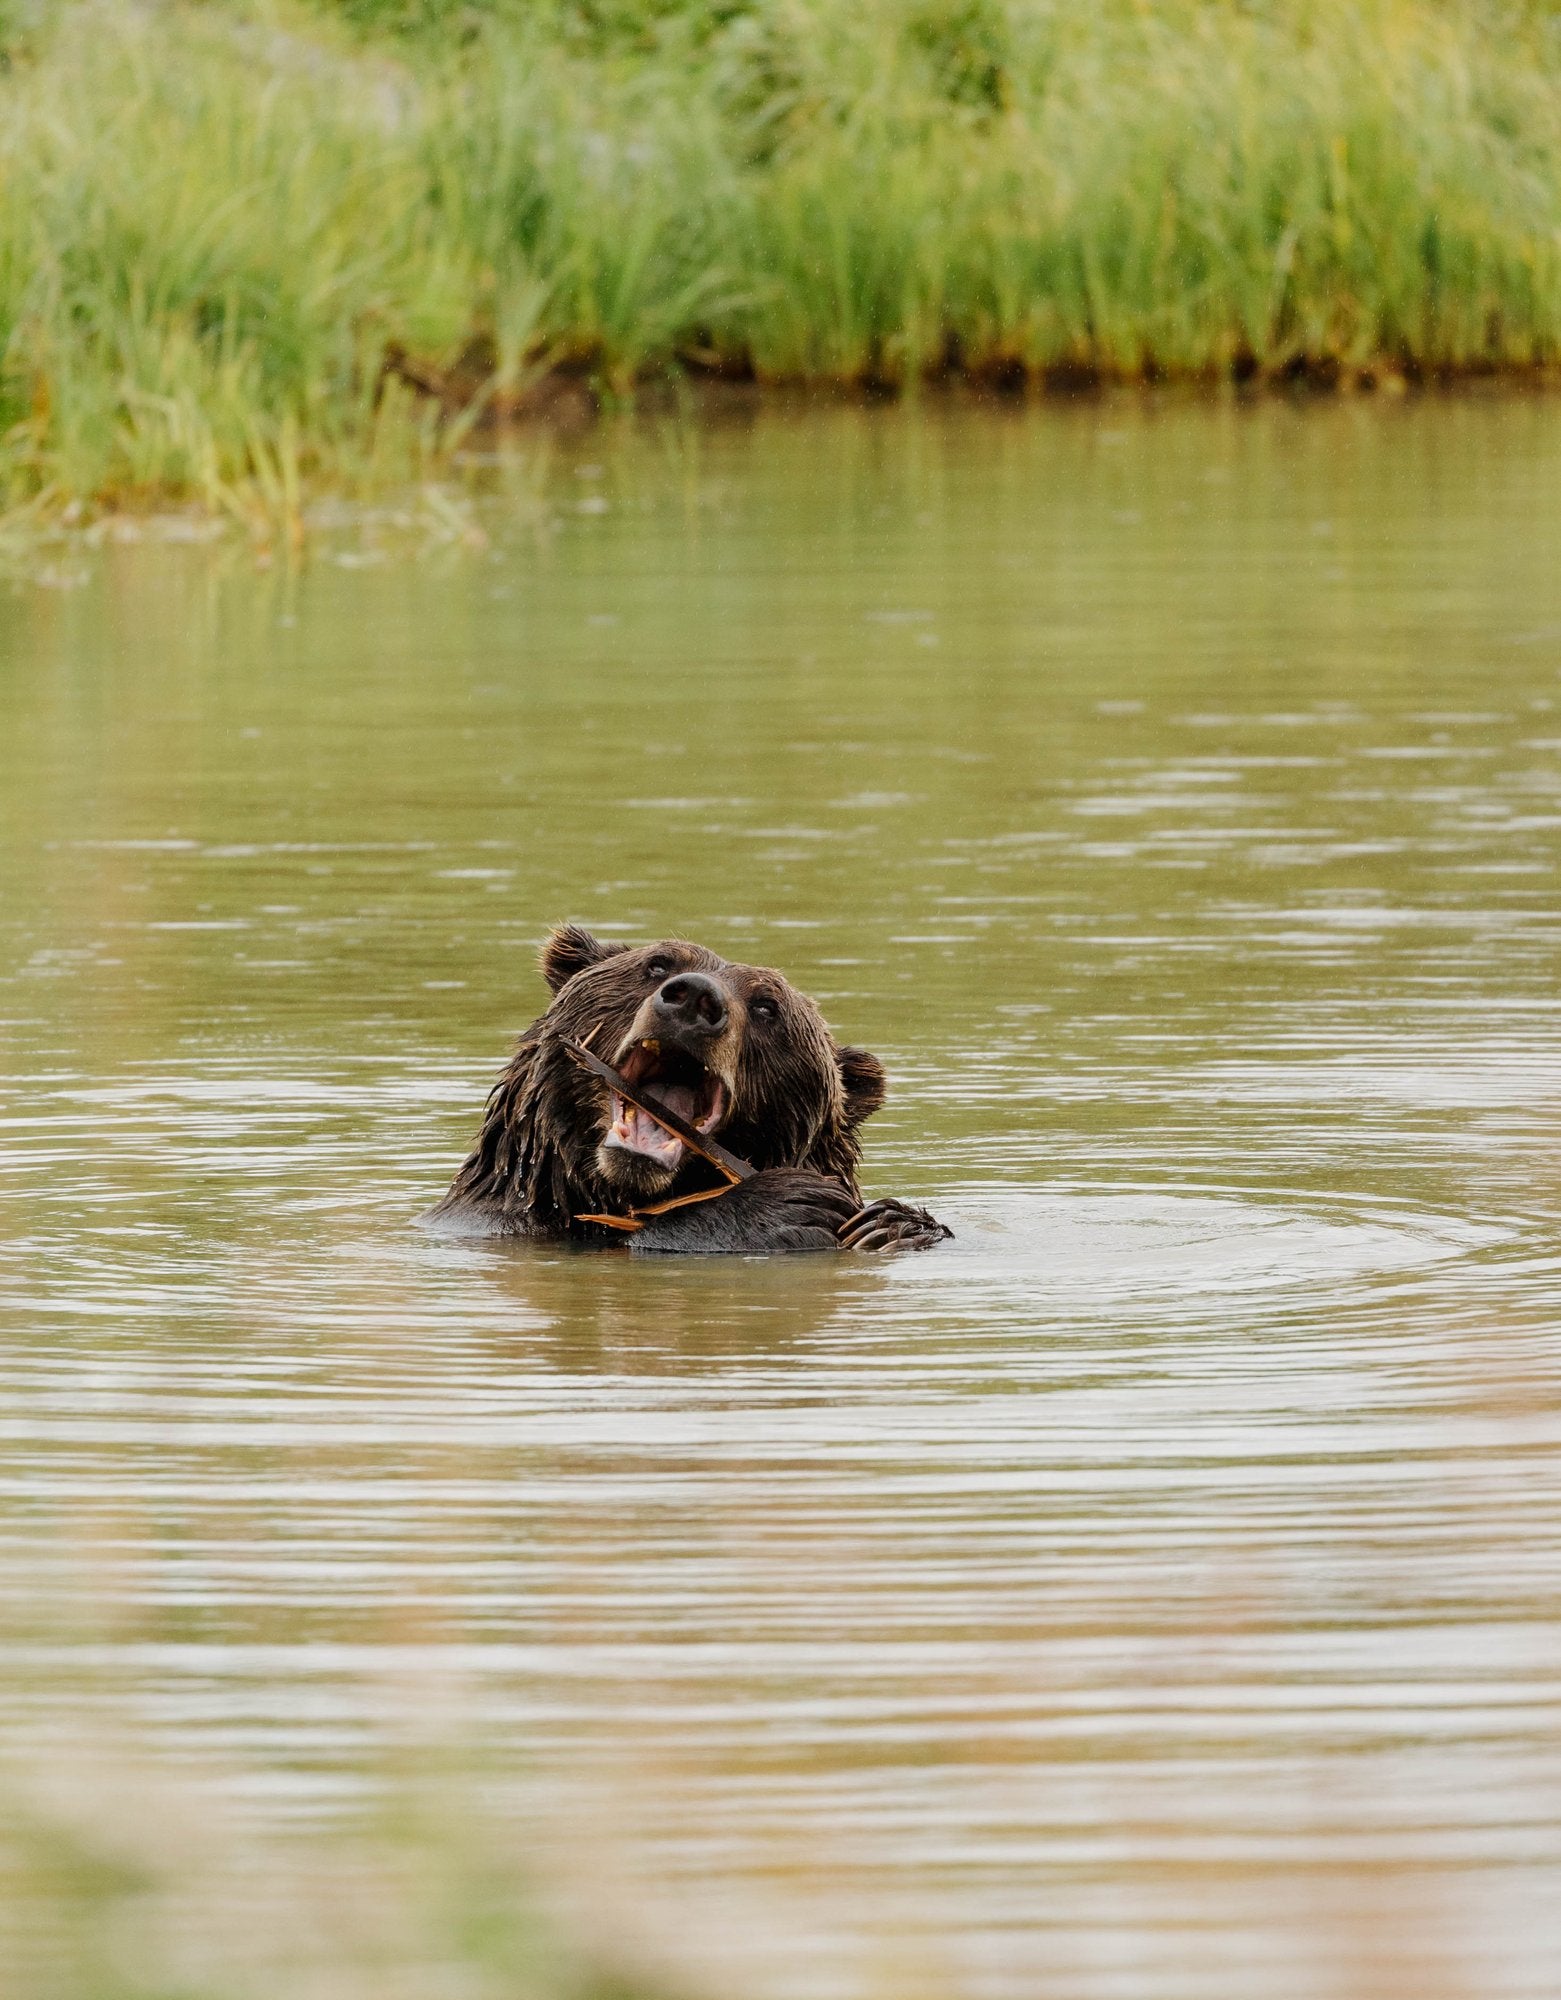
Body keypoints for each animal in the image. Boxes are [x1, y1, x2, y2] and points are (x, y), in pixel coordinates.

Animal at [425, 925, 951, 1254]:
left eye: (767, 1007)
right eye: (658, 964)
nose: (696, 996)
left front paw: (890, 1224)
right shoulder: (497, 1222)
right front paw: (788, 1204)